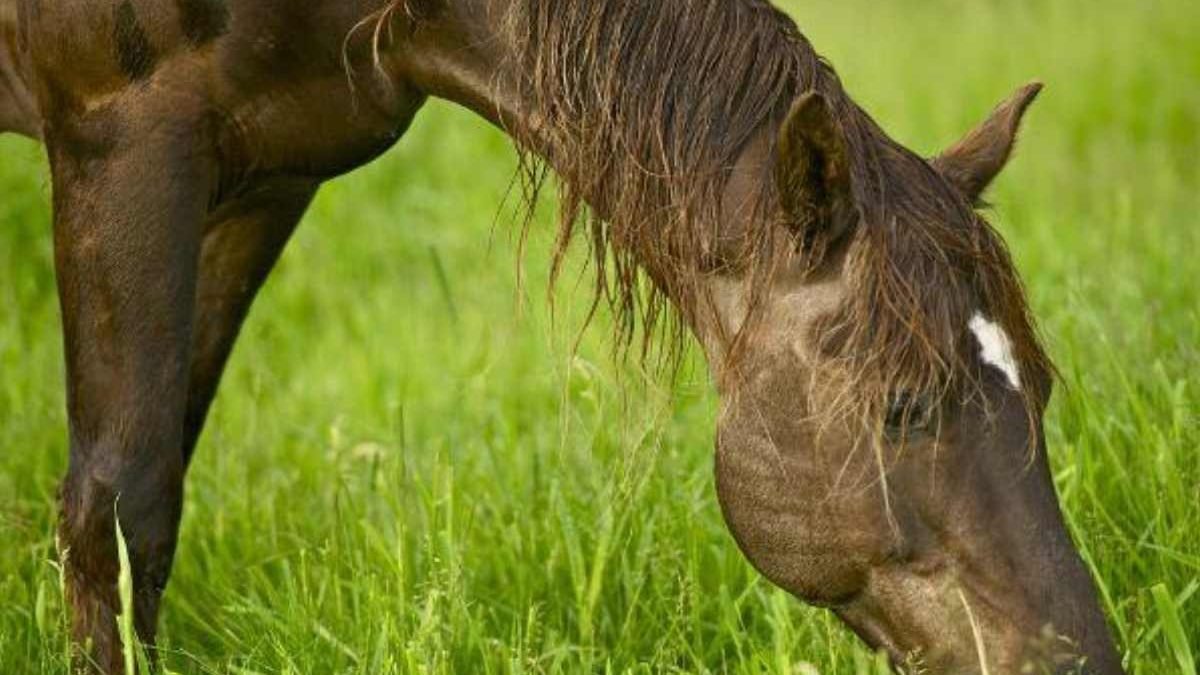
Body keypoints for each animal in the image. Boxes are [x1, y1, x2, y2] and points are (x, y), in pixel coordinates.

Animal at [0, 0, 1124, 672]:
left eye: (1039, 390)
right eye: (902, 407)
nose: (1080, 659)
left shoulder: (262, 177)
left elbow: (161, 485)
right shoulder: (119, 135)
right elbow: (118, 506)